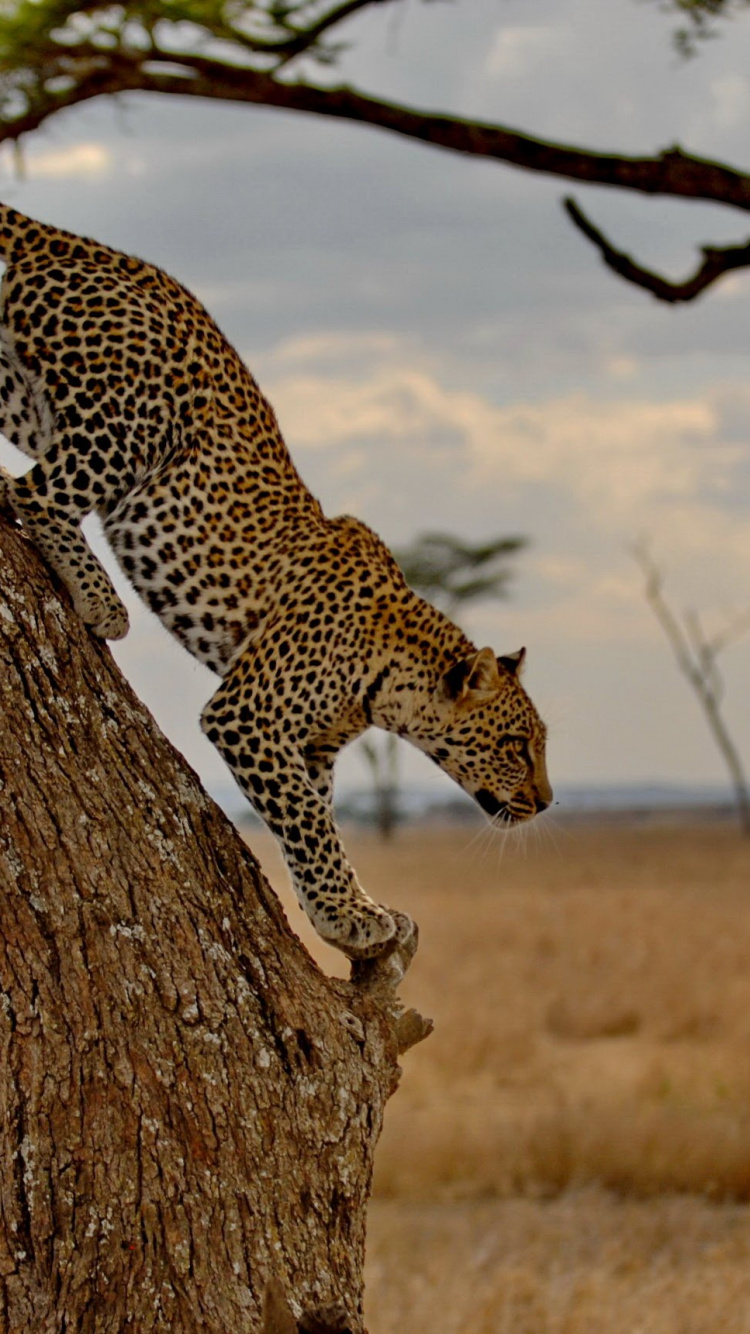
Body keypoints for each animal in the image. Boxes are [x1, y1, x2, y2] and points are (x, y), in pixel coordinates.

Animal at [0, 202, 552, 960]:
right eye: (516, 747)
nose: (547, 802)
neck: (391, 681)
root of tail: (87, 245)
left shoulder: (311, 748)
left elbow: (317, 825)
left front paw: (339, 911)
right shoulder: (249, 716)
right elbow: (310, 826)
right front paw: (352, 916)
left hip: (24, 394)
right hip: (131, 416)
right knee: (32, 493)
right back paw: (101, 599)